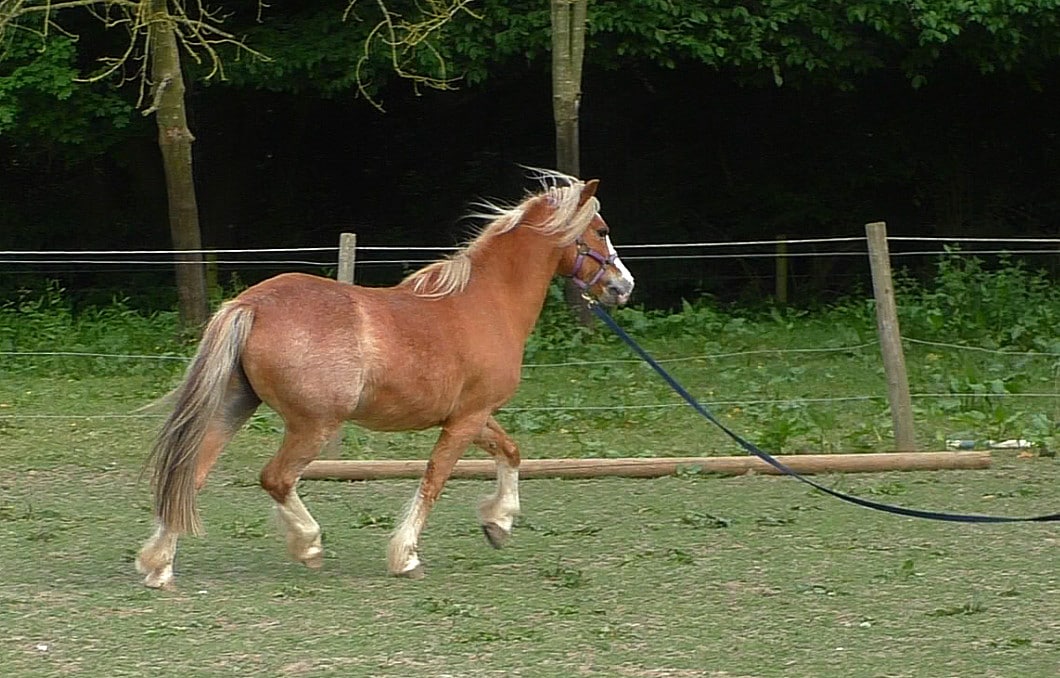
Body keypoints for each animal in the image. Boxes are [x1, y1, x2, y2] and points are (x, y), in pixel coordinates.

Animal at [136, 170, 631, 589]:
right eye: (602, 230)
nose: (623, 286)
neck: (486, 303)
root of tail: (251, 304)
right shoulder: (465, 421)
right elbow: (434, 481)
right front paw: (406, 557)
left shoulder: (473, 415)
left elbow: (510, 452)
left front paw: (499, 523)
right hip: (313, 425)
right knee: (275, 479)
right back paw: (308, 545)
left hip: (235, 407)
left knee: (191, 475)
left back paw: (160, 567)